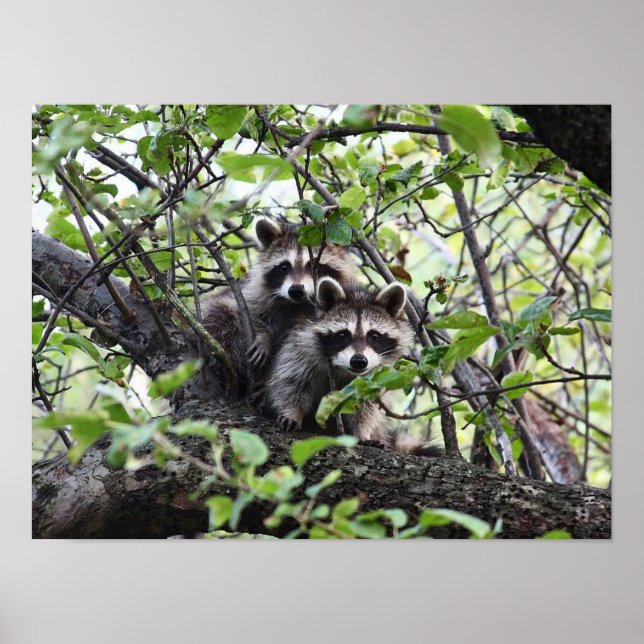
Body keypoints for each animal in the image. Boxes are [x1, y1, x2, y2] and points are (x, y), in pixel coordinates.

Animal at [200, 218, 357, 394]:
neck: (297, 304)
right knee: (219, 316)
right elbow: (247, 311)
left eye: (314, 266)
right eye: (284, 267)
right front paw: (262, 336)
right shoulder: (252, 294)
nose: (296, 290)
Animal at [265, 277, 441, 456]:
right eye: (342, 335)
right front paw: (292, 411)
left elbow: (367, 406)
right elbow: (291, 382)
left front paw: (362, 431)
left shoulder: (376, 375)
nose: (358, 361)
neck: (342, 368)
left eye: (374, 336)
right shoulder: (301, 348)